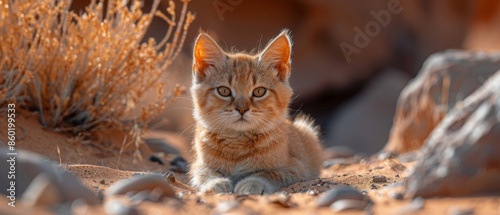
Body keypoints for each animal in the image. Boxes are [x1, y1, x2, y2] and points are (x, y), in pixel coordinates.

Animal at [189, 30, 322, 195]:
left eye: (259, 91)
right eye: (224, 91)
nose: (242, 109)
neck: (237, 142)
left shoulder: (297, 166)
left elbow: (270, 172)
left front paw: (252, 183)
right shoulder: (197, 163)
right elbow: (203, 171)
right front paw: (215, 182)